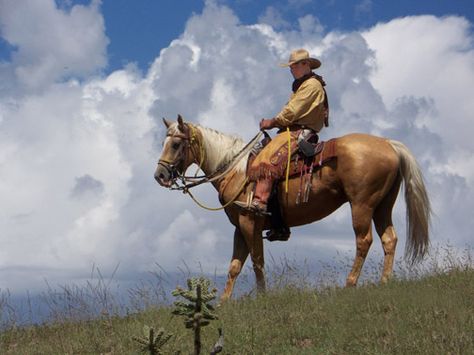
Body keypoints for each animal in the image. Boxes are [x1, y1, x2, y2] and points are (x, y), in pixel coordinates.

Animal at [155, 115, 430, 302]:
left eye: (176, 145)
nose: (160, 175)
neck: (236, 169)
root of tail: (388, 143)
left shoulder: (250, 222)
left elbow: (257, 261)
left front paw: (262, 297)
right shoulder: (239, 228)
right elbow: (234, 266)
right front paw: (223, 302)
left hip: (361, 205)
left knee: (364, 240)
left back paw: (350, 283)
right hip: (382, 205)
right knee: (389, 239)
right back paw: (384, 281)